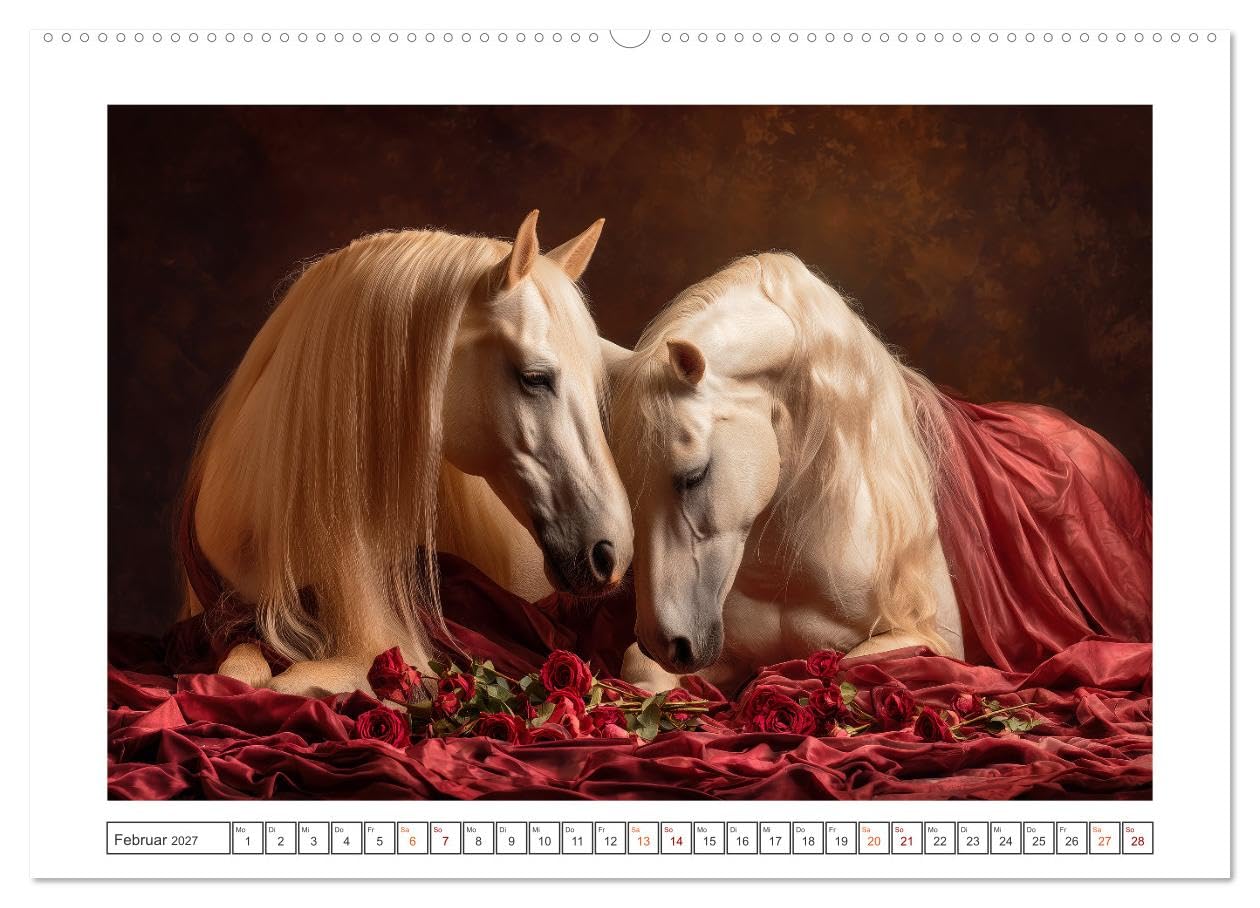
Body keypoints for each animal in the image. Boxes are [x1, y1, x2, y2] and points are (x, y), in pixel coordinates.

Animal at [181, 211, 634, 697]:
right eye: (534, 377)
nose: (612, 551)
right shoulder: (225, 621)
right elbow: (234, 671)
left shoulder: (378, 655)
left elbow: (283, 686)